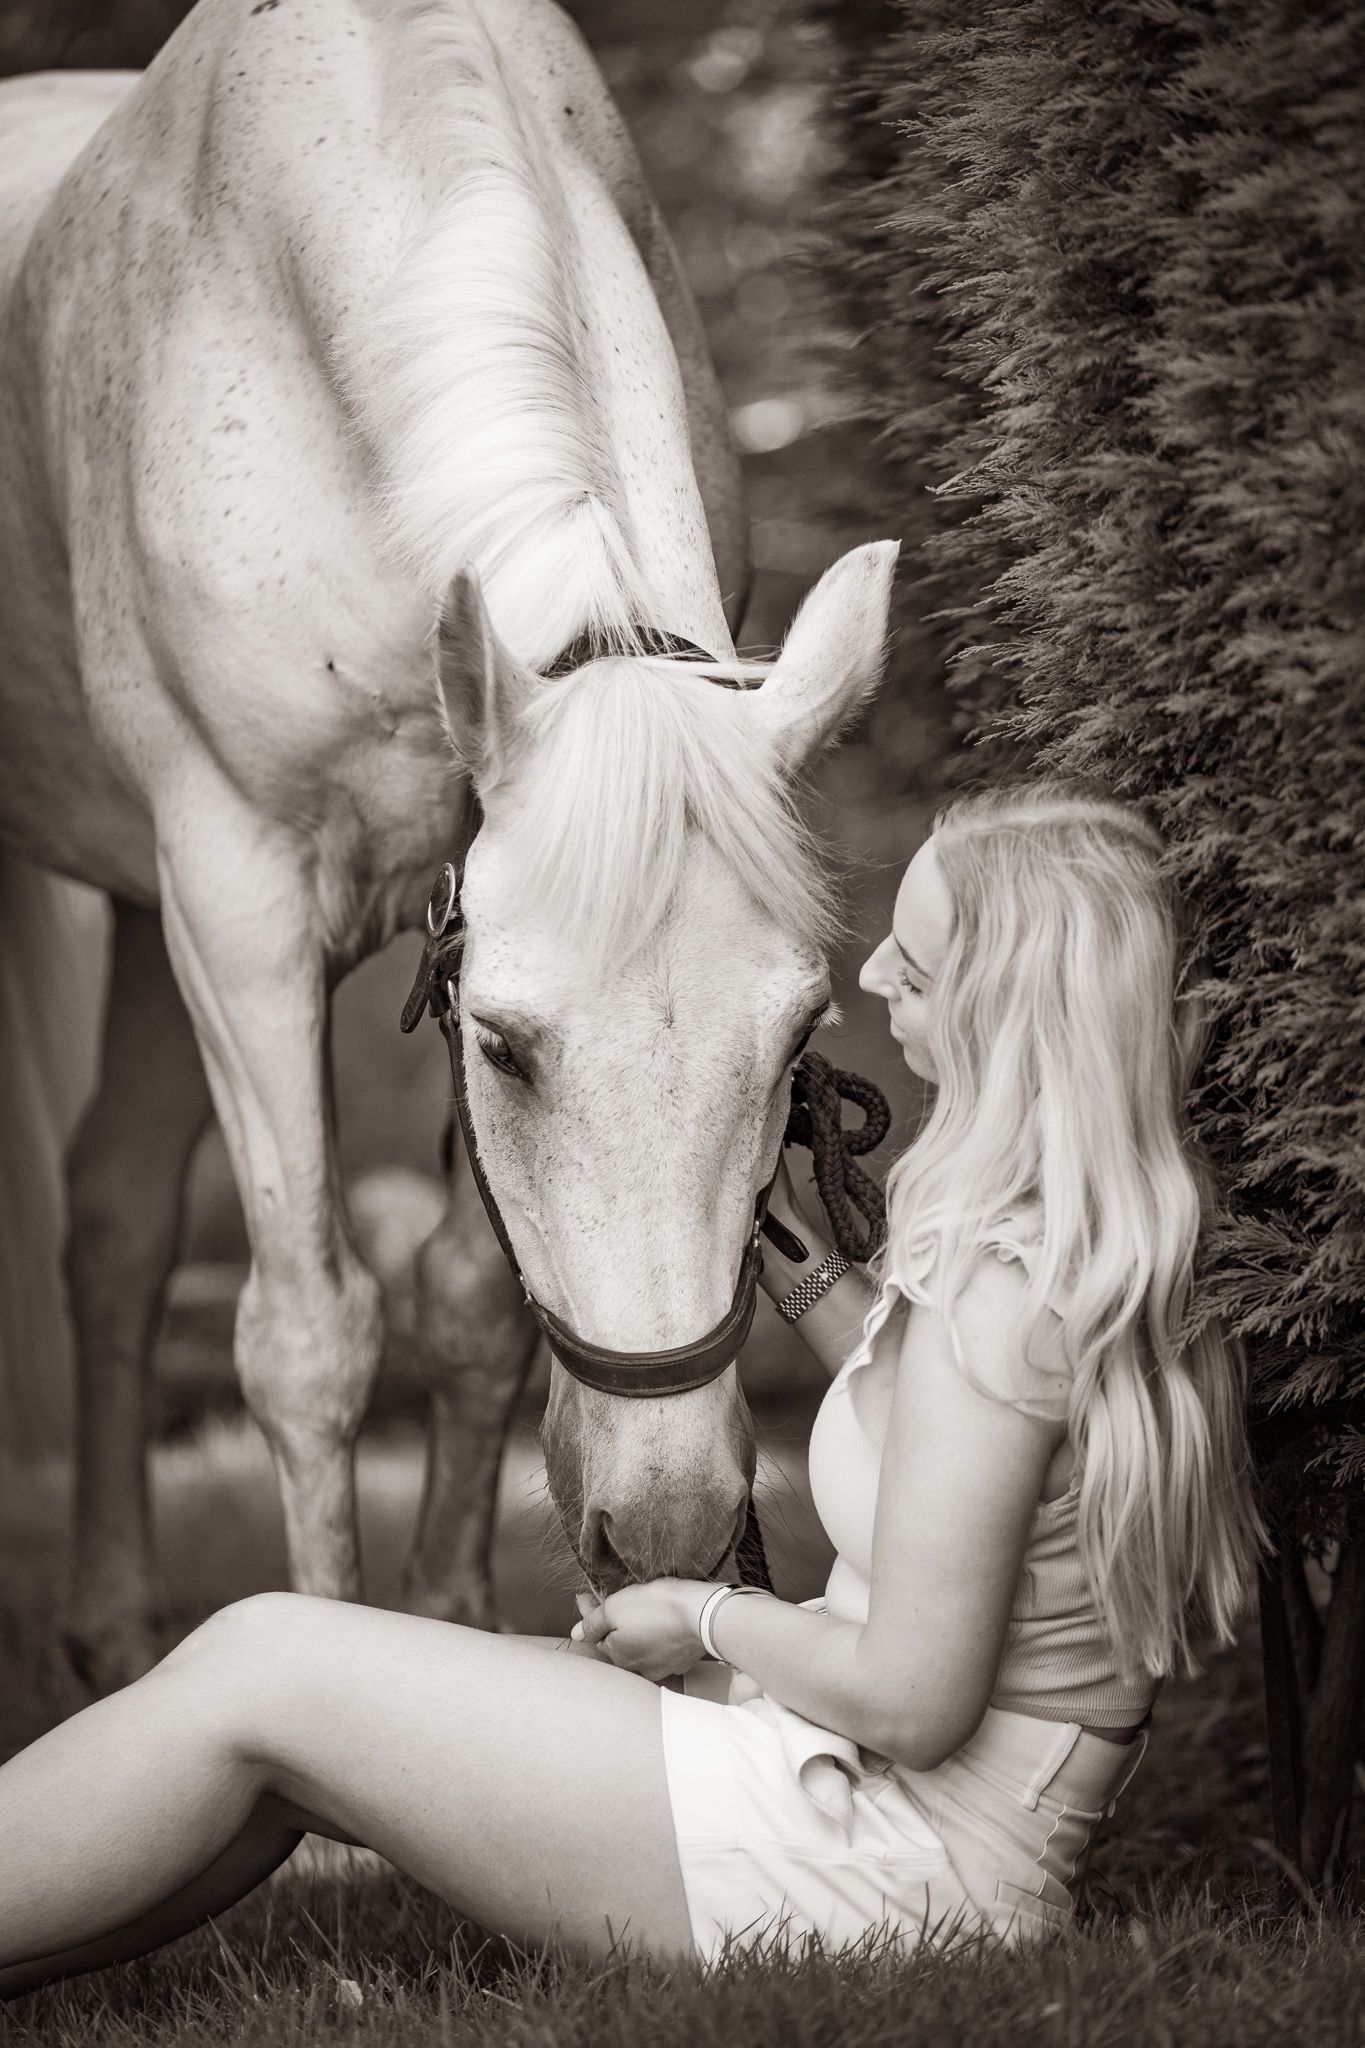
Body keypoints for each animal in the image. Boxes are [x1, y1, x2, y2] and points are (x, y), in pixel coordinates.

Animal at [0, 0, 897, 1693]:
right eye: (506, 1047)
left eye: (799, 1035)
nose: (673, 1529)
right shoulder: (241, 905)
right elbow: (309, 1341)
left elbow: (470, 1306)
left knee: (118, 1221)